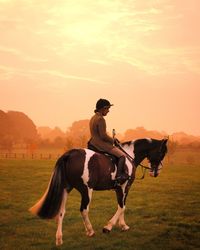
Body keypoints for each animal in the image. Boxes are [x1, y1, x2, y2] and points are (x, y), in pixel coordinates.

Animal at [28, 138, 168, 245]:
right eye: (162, 153)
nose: (155, 172)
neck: (129, 156)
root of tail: (69, 154)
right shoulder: (125, 187)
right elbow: (122, 206)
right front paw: (108, 227)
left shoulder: (119, 189)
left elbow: (121, 205)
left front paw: (123, 225)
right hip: (86, 191)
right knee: (84, 210)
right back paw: (90, 231)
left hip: (65, 189)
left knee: (61, 212)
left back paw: (59, 239)